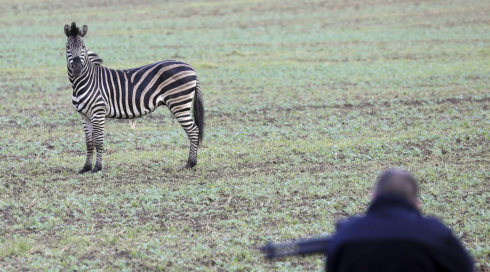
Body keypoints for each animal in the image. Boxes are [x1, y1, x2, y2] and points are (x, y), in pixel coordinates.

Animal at [63, 22, 205, 173]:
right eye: (67, 47)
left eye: (83, 47)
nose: (77, 68)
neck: (84, 81)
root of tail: (190, 67)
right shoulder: (84, 115)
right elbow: (89, 143)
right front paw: (86, 167)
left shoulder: (98, 112)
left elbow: (99, 141)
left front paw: (97, 167)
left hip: (179, 103)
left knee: (193, 130)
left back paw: (191, 163)